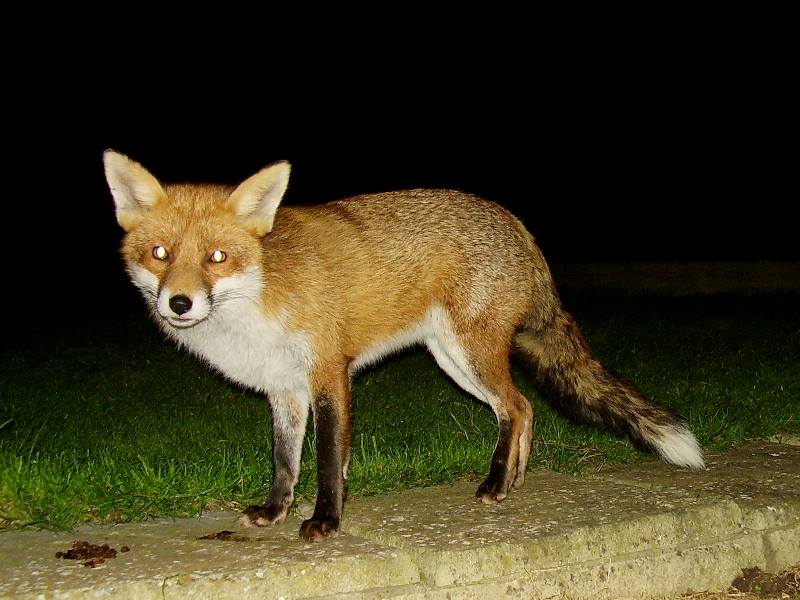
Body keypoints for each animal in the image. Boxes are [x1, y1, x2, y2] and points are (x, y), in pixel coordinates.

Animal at [104, 150, 704, 541]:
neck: (259, 296)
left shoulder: (329, 373)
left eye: (217, 258)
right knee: (525, 410)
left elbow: (328, 460)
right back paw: (513, 479)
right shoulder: (284, 389)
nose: (179, 303)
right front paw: (275, 513)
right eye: (160, 253)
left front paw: (325, 522)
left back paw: (495, 482)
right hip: (453, 359)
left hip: (469, 354)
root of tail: (515, 222)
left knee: (516, 407)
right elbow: (284, 461)